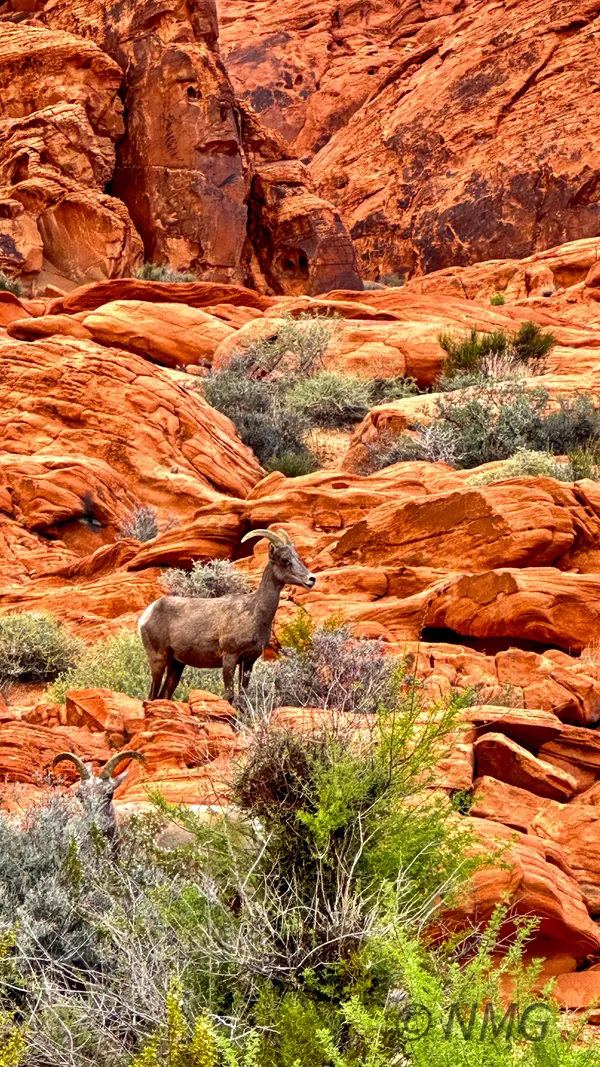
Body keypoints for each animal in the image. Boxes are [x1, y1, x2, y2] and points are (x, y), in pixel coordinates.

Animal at [137, 527, 316, 708]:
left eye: (297, 557)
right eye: (285, 560)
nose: (311, 579)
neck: (254, 612)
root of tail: (146, 616)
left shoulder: (248, 661)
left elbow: (243, 696)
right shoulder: (230, 657)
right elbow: (229, 695)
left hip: (176, 664)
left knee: (162, 695)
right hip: (158, 659)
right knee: (151, 695)